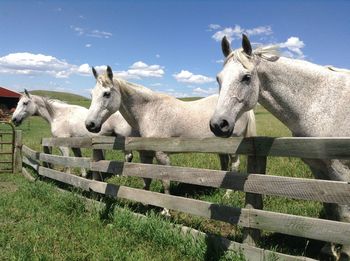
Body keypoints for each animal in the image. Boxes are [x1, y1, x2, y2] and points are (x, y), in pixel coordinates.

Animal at [83, 66, 254, 213]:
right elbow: (146, 180)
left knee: (234, 166)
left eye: (106, 94)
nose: (90, 124)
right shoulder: (146, 154)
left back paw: (228, 194)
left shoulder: (162, 155)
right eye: (91, 94)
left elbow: (165, 181)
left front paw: (165, 210)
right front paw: (145, 203)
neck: (149, 111)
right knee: (224, 164)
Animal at [209, 34, 350, 258]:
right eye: (218, 79)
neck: (319, 103)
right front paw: (329, 250)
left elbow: (344, 215)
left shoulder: (341, 170)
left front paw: (344, 253)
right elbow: (331, 209)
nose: (218, 124)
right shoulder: (319, 168)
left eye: (246, 77)